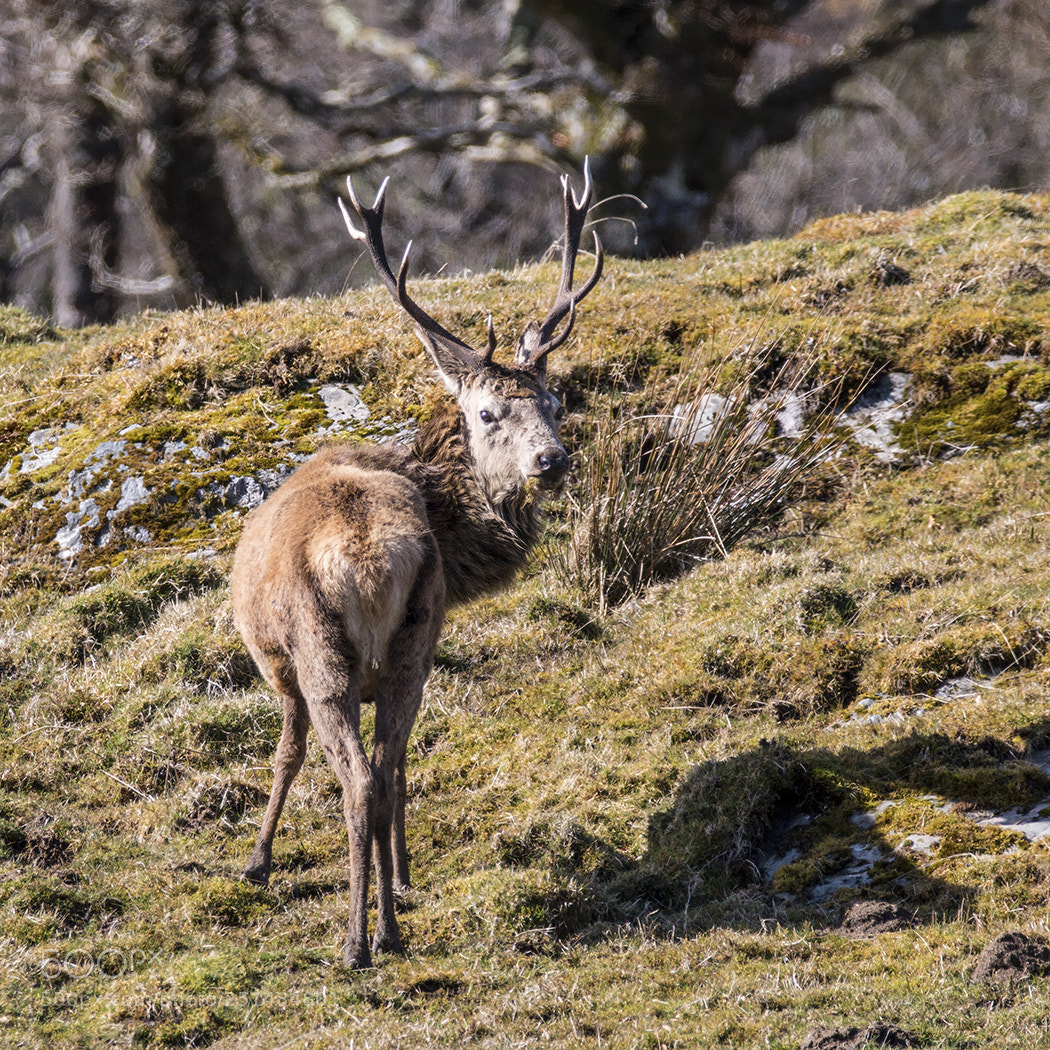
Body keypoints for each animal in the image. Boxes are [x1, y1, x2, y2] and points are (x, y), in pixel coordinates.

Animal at [230, 163, 603, 970]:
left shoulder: (280, 670)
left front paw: (258, 860)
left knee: (358, 780)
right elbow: (395, 765)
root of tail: (369, 561)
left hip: (322, 652)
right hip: (413, 640)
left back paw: (355, 940)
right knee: (389, 765)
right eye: (491, 413)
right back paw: (391, 924)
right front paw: (403, 878)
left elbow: (286, 752)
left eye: (555, 403)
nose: (552, 459)